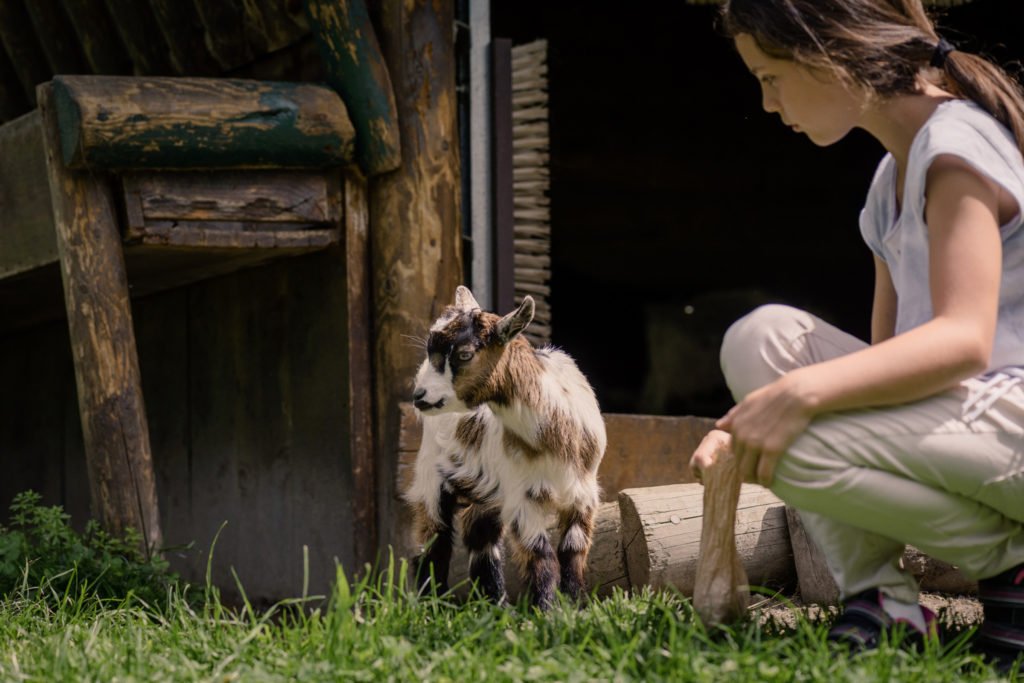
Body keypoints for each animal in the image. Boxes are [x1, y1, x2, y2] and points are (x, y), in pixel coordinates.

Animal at [403, 284, 602, 610]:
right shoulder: (524, 497)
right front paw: (548, 610)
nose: (420, 395)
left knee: (478, 533)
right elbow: (542, 556)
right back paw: (432, 604)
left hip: (488, 491)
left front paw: (574, 606)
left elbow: (573, 553)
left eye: (465, 354)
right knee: (434, 537)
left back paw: (494, 605)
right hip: (430, 472)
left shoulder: (583, 496)